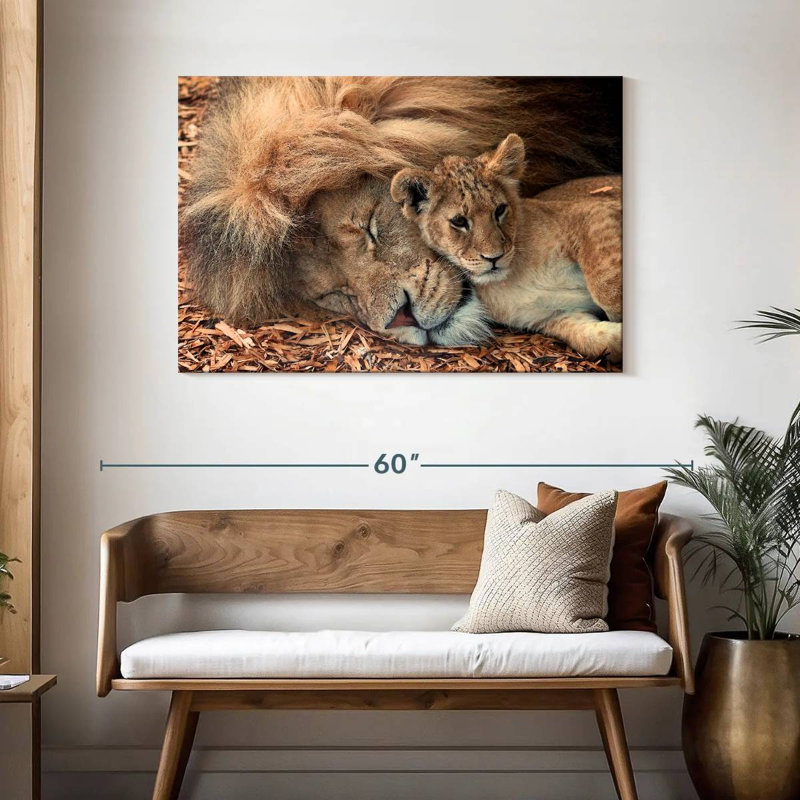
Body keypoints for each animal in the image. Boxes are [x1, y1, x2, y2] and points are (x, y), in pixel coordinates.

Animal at [390, 134, 623, 361]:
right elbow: (595, 341)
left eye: (500, 210)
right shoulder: (555, 315)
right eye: (459, 221)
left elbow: (607, 290)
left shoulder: (593, 211)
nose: (493, 258)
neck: (509, 278)